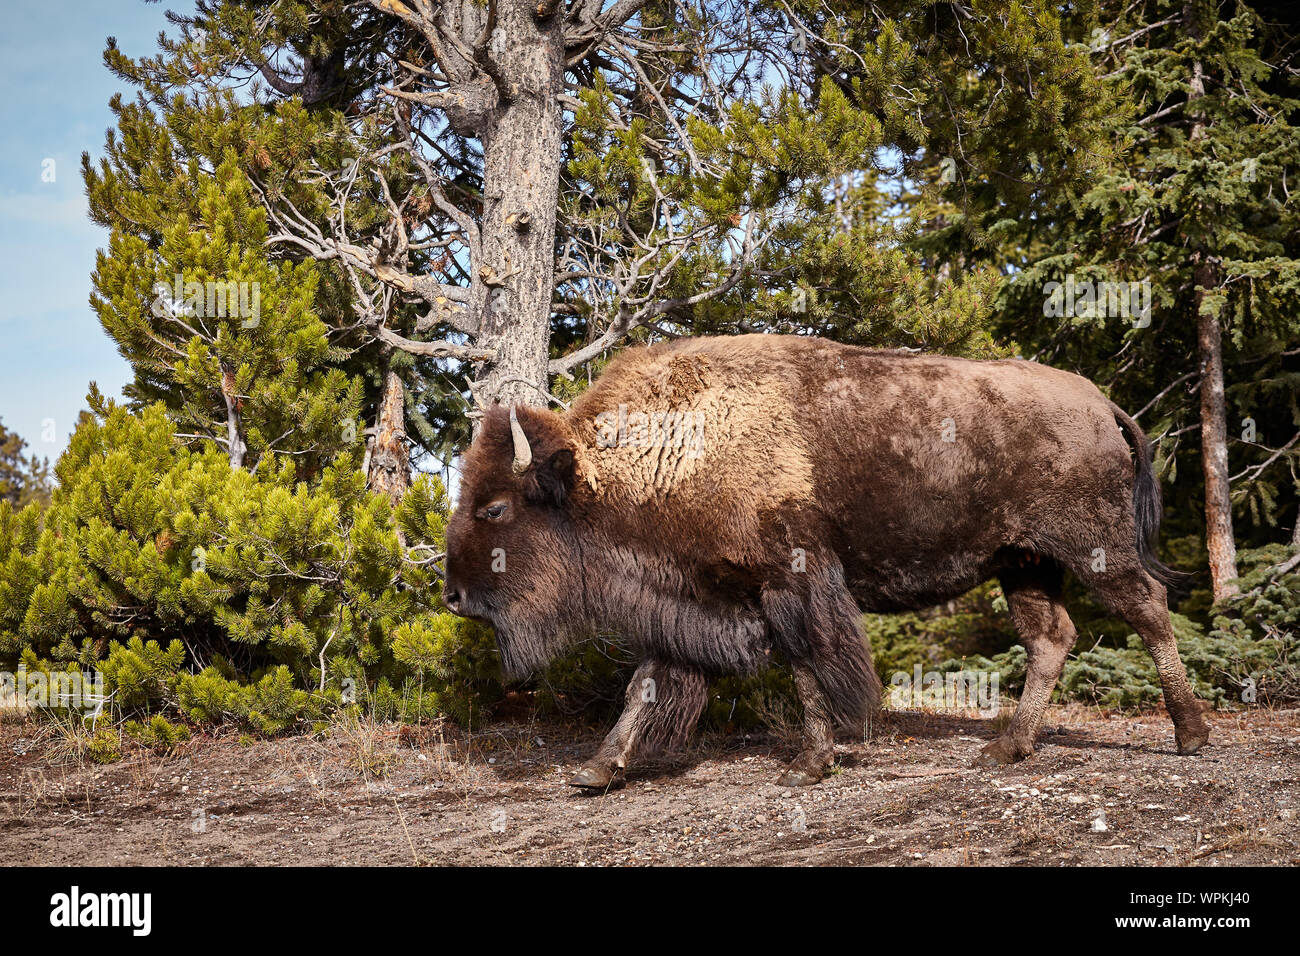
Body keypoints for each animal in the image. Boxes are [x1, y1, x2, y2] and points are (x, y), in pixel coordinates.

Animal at [444, 332, 1206, 790]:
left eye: (496, 509)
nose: (454, 596)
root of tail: (1101, 402)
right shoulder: (699, 596)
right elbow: (648, 684)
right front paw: (599, 770)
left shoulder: (790, 581)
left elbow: (807, 668)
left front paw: (809, 764)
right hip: (1023, 562)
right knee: (1051, 638)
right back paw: (1005, 748)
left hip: (1092, 546)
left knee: (1148, 610)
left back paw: (1190, 735)